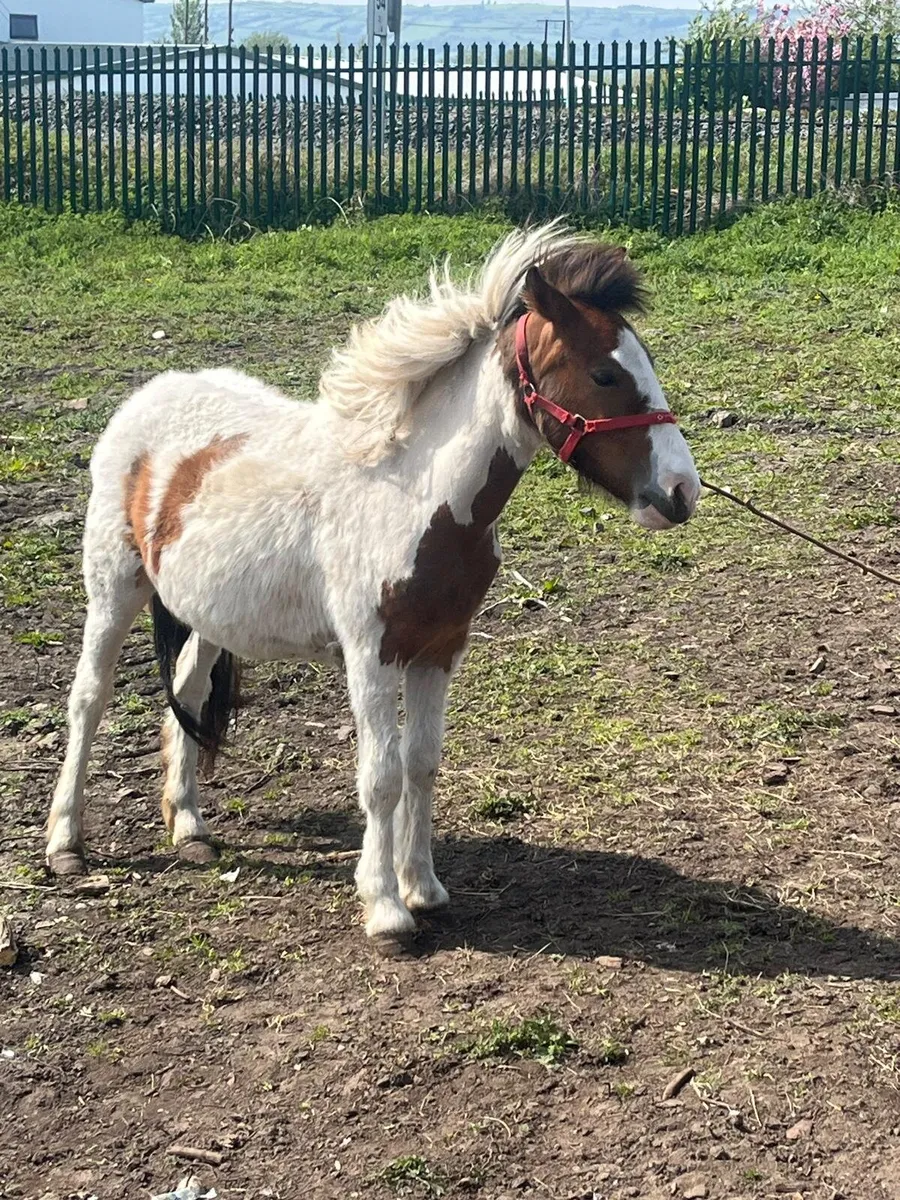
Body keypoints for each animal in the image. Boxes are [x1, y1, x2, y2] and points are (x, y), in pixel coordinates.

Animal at [44, 222, 700, 948]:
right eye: (605, 373)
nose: (681, 491)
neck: (413, 496)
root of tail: (153, 395)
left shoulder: (440, 651)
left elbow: (421, 762)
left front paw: (424, 888)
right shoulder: (371, 654)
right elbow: (381, 776)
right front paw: (384, 907)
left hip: (211, 610)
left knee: (185, 689)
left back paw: (188, 825)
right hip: (114, 585)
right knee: (89, 699)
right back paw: (66, 843)